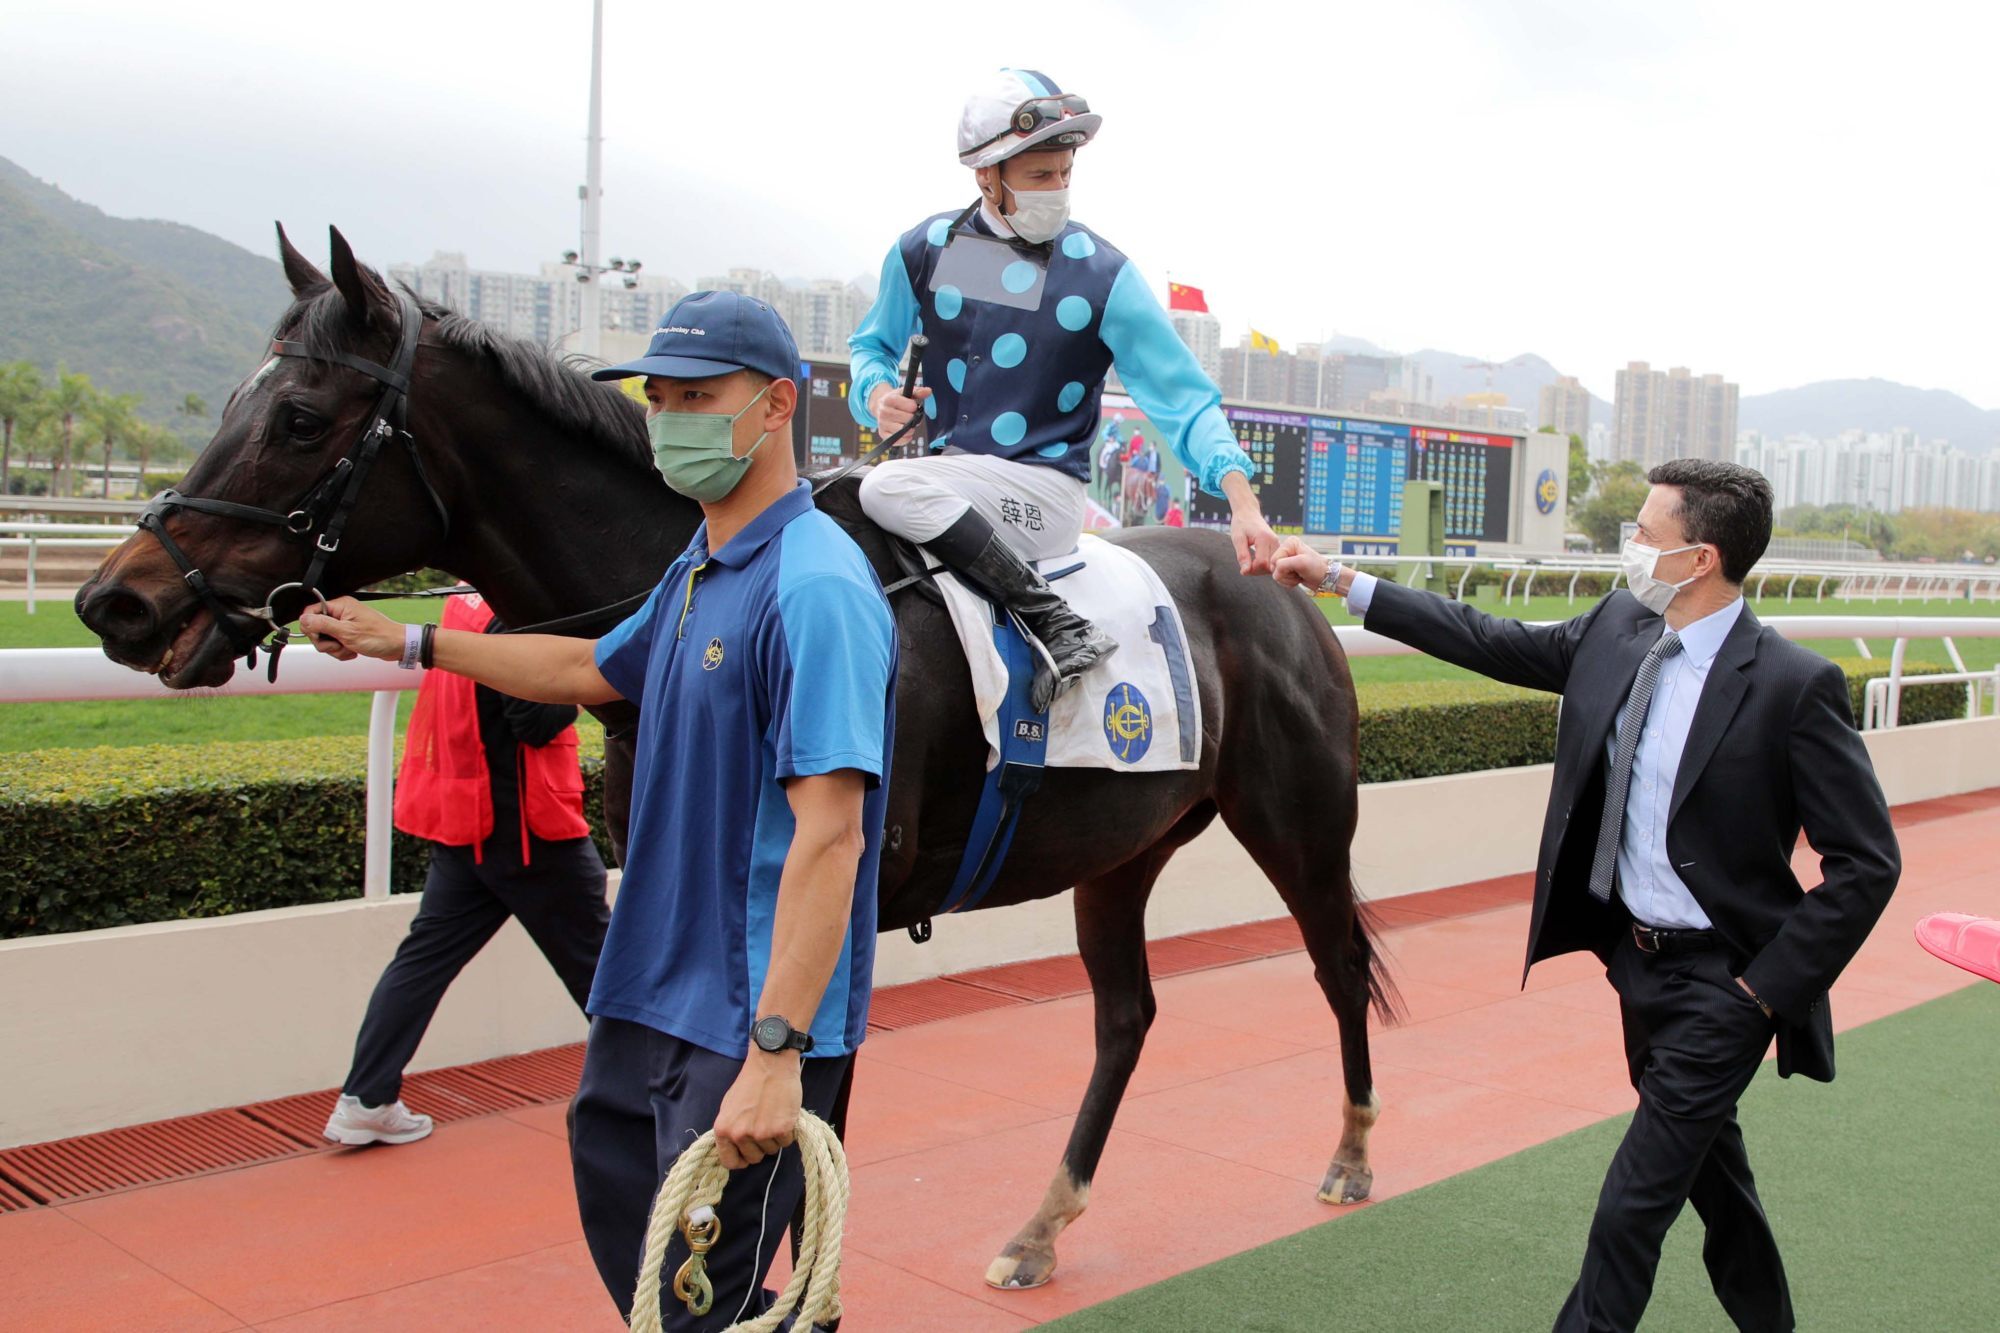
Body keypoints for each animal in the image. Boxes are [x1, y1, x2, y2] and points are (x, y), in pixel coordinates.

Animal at [74, 228, 1392, 1288]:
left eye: (299, 418)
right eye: (229, 402)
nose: (115, 602)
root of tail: (1275, 576)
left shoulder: (835, 905)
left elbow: (797, 1121)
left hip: (1298, 822)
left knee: (1334, 964)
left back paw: (1348, 1153)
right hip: (1119, 848)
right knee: (1125, 1015)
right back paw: (1038, 1227)